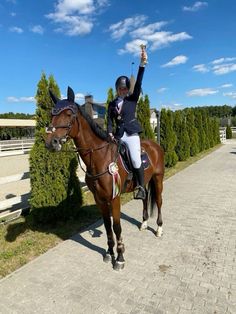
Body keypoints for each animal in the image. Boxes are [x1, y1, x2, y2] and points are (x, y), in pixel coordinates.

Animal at [44, 86, 164, 270]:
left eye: (69, 114)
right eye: (52, 114)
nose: (51, 142)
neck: (99, 157)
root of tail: (154, 145)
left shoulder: (114, 198)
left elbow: (117, 226)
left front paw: (120, 258)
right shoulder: (100, 199)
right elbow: (108, 226)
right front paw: (109, 253)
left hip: (158, 179)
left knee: (158, 201)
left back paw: (158, 229)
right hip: (144, 183)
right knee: (144, 199)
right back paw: (143, 224)